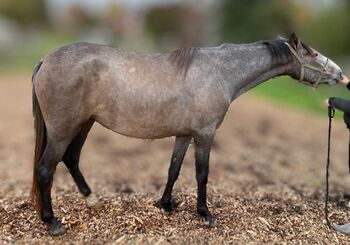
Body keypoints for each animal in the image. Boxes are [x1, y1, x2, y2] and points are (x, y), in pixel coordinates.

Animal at [31, 33, 346, 234]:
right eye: (311, 52)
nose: (341, 74)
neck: (221, 71)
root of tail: (45, 60)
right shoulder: (205, 134)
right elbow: (201, 174)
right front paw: (205, 214)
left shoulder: (184, 134)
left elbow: (174, 169)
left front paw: (165, 204)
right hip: (64, 129)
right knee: (46, 168)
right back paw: (52, 223)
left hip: (84, 124)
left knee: (71, 159)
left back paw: (91, 199)